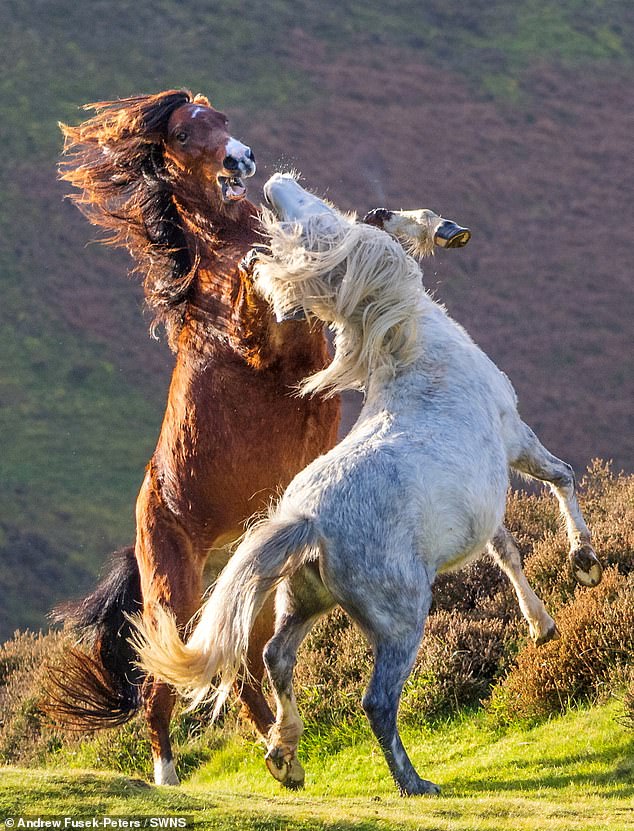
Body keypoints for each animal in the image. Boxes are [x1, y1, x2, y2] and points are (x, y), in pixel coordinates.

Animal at [45, 91, 340, 788]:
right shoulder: (268, 349)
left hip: (249, 583)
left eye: (223, 119)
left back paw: (282, 759)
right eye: (181, 134)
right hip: (175, 597)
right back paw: (170, 776)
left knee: (244, 664)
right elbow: (264, 303)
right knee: (167, 683)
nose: (241, 159)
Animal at [132, 176, 596, 800]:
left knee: (276, 658)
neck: (417, 349)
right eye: (379, 215)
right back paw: (414, 782)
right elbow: (562, 478)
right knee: (376, 701)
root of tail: (309, 520)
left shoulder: (482, 503)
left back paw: (285, 759)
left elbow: (507, 552)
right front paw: (585, 562)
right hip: (400, 619)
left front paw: (542, 627)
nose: (446, 227)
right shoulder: (514, 436)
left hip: (303, 598)